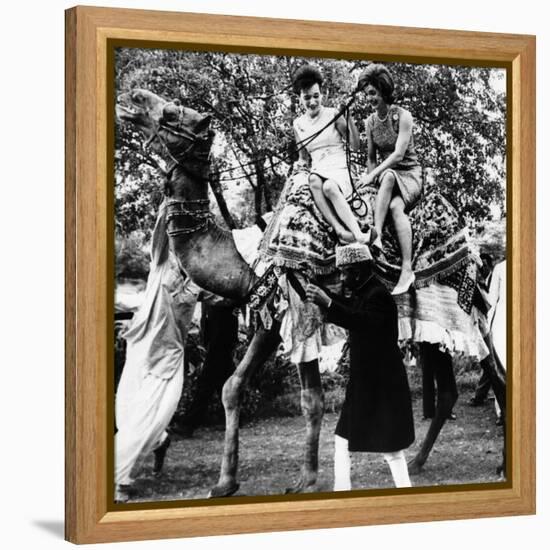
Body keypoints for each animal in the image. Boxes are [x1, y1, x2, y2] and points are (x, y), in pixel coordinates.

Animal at [117, 89, 508, 496]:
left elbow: (311, 399)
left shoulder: (297, 309)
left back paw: (496, 463)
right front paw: (225, 483)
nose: (133, 97)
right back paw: (416, 461)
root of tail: (468, 240)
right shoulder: (270, 316)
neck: (246, 256)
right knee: (450, 387)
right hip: (433, 314)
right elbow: (232, 387)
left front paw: (305, 480)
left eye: (173, 112)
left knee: (495, 372)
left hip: (461, 305)